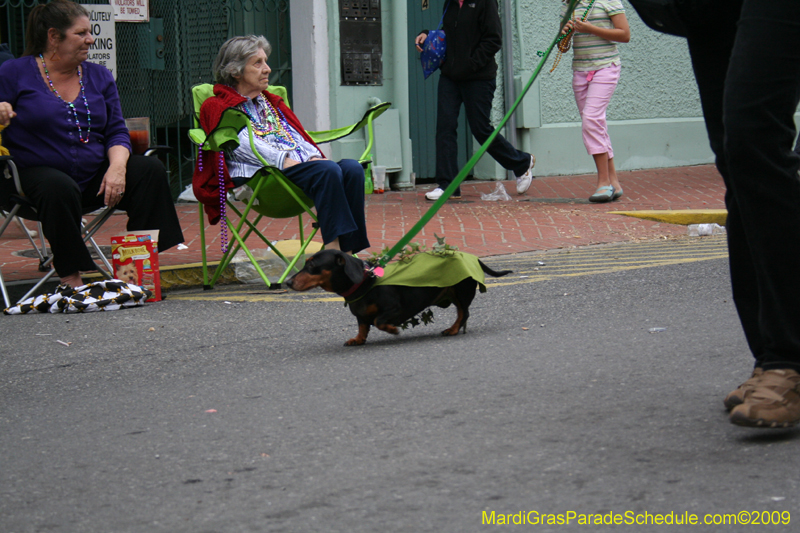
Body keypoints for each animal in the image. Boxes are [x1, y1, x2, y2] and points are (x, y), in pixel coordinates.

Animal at [288, 249, 512, 344]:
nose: (288, 282)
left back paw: (453, 329)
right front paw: (358, 339)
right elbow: (363, 326)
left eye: (312, 265)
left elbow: (378, 321)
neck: (365, 282)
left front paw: (392, 329)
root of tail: (472, 257)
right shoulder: (360, 316)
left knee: (463, 313)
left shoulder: (393, 309)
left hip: (461, 292)